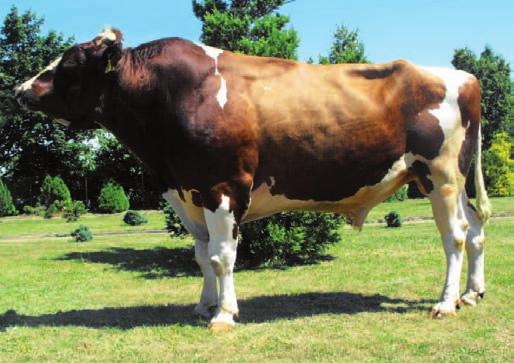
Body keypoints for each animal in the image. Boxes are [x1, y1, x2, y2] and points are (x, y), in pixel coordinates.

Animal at [15, 27, 488, 332]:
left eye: (70, 64)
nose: (19, 90)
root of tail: (461, 75)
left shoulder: (222, 188)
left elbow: (222, 256)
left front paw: (224, 315)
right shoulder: (187, 191)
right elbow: (201, 255)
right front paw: (204, 306)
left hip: (440, 175)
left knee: (454, 236)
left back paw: (445, 303)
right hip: (456, 179)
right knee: (476, 230)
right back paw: (471, 294)